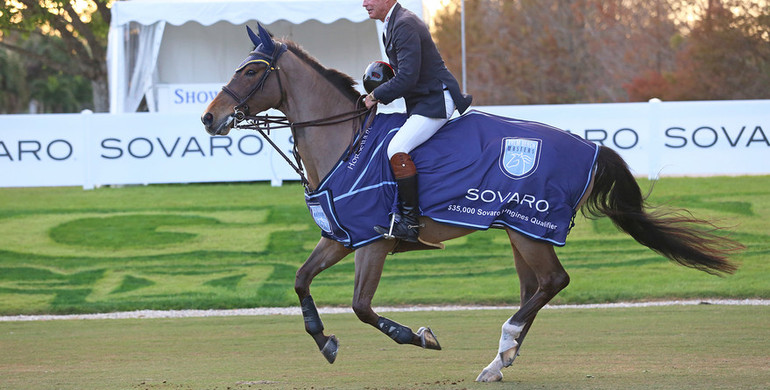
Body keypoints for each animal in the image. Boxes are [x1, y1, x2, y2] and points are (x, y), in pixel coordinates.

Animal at [200, 25, 736, 384]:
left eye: (251, 69)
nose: (208, 118)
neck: (346, 144)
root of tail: (591, 146)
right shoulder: (341, 236)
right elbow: (300, 280)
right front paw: (324, 340)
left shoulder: (373, 241)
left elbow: (362, 306)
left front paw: (419, 336)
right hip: (521, 230)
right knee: (534, 287)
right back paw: (503, 358)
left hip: (531, 226)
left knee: (552, 282)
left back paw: (503, 346)